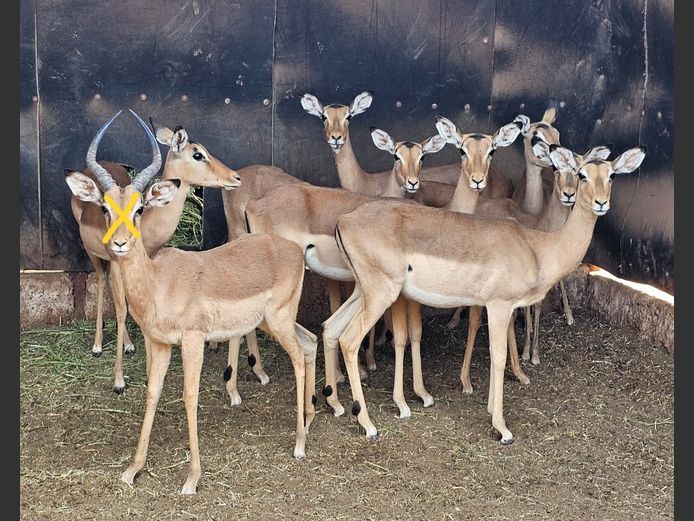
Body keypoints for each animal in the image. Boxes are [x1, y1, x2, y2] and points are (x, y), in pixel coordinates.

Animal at [65, 113, 241, 393]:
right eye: (198, 154)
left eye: (139, 207)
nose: (235, 177)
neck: (149, 226)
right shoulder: (118, 264)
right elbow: (122, 309)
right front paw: (118, 380)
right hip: (96, 257)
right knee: (103, 283)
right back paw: (97, 345)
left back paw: (128, 344)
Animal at [322, 144, 645, 443]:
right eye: (581, 174)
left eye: (611, 175)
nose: (601, 203)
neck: (537, 248)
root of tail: (345, 220)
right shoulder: (500, 305)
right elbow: (497, 356)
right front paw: (502, 428)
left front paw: (491, 411)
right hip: (380, 293)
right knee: (349, 340)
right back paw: (368, 425)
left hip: (362, 292)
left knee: (330, 327)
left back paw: (336, 405)